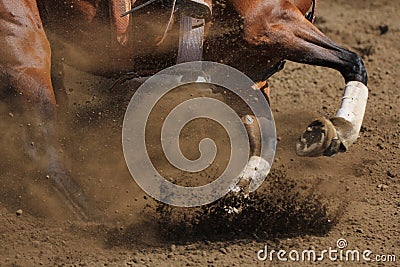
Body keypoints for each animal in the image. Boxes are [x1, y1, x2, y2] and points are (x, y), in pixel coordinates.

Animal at [0, 0, 368, 220]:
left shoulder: (241, 70)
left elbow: (260, 131)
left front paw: (237, 193)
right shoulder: (270, 24)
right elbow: (353, 61)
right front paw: (338, 129)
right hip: (24, 49)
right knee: (41, 153)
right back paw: (99, 219)